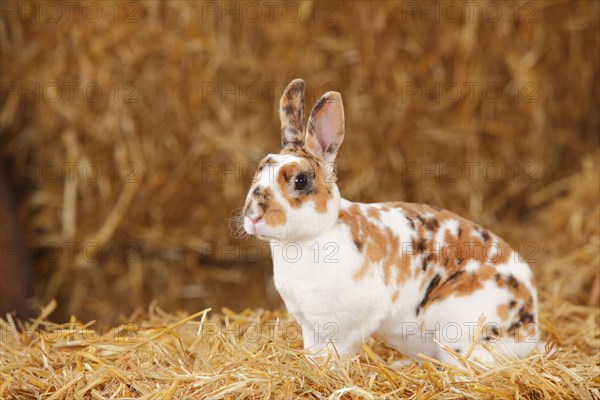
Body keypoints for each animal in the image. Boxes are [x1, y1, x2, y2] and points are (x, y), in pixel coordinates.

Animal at [241, 78, 540, 366]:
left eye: (300, 180)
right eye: (260, 170)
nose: (252, 215)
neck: (311, 237)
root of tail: (529, 329)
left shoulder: (349, 324)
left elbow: (336, 355)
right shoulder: (310, 326)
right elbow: (314, 354)